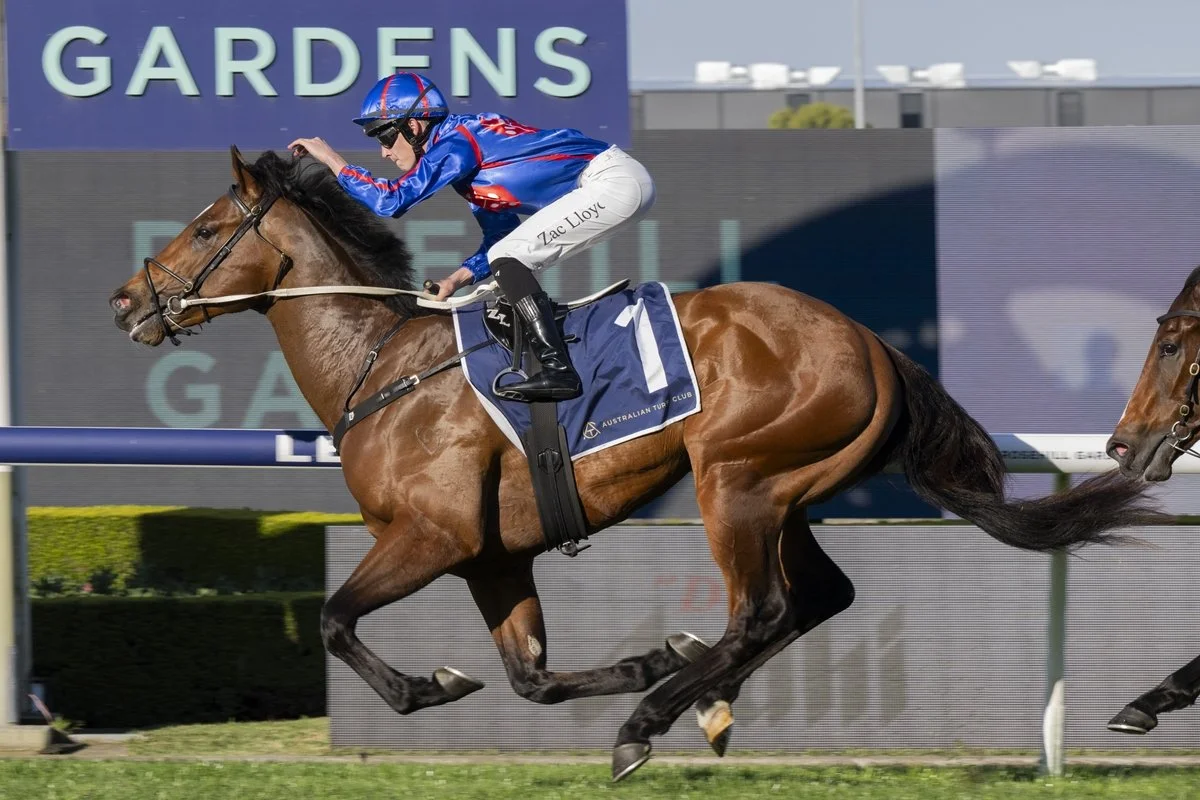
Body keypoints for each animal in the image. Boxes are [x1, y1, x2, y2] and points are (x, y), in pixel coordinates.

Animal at [109, 147, 1164, 780]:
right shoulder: (494, 557)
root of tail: (869, 342)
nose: (126, 302)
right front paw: (649, 656)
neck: (387, 366)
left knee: (762, 609)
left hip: (735, 479)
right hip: (785, 491)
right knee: (815, 599)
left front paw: (432, 687)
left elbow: (333, 620)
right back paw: (701, 702)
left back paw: (649, 724)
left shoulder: (432, 537)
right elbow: (531, 678)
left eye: (206, 230)